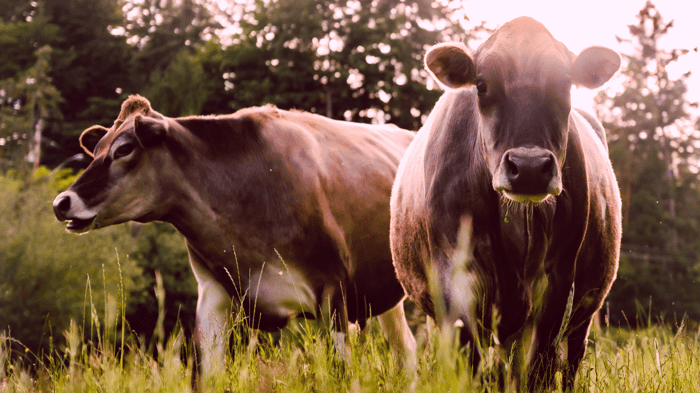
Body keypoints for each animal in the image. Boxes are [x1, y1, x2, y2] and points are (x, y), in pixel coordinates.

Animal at [54, 96, 418, 384]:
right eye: (96, 150)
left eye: (124, 149)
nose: (61, 202)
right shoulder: (212, 294)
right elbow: (205, 376)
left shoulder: (334, 292)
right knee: (407, 348)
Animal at [388, 16, 624, 390]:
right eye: (482, 84)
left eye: (566, 83)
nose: (529, 167)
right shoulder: (456, 280)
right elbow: (469, 367)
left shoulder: (559, 282)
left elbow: (539, 370)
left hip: (583, 314)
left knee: (567, 362)